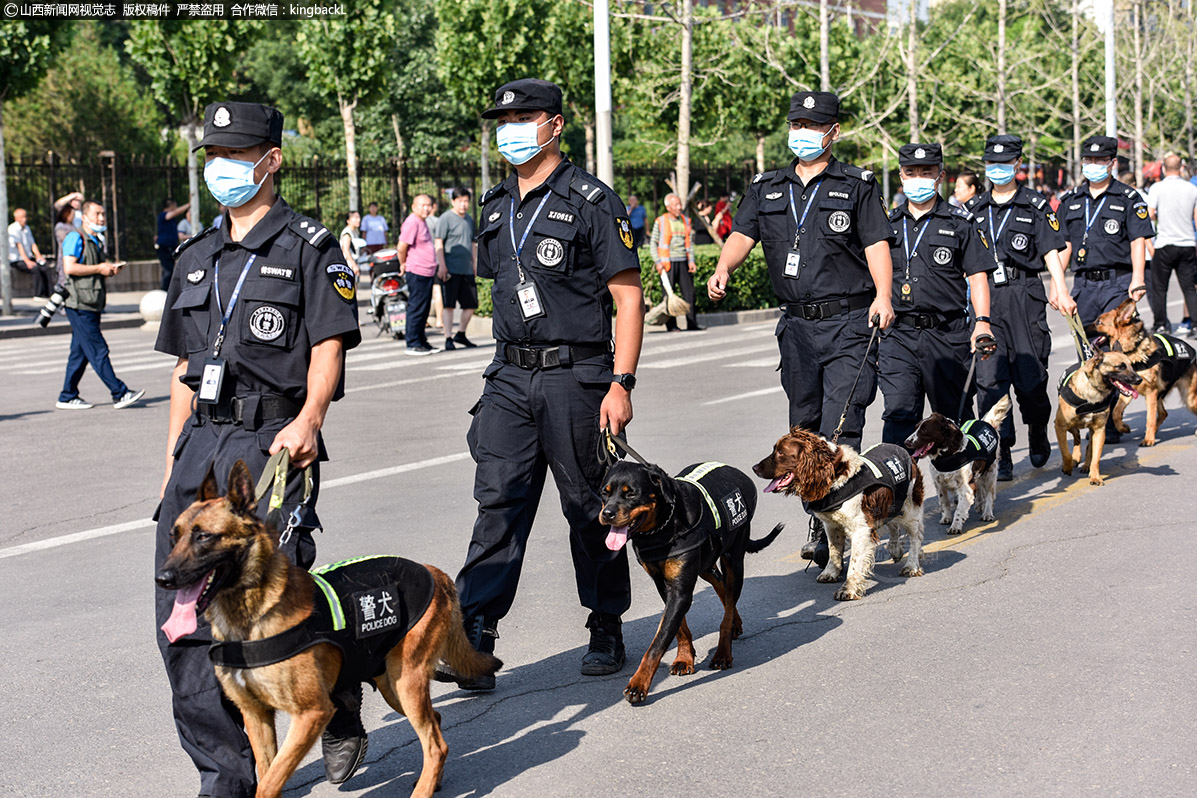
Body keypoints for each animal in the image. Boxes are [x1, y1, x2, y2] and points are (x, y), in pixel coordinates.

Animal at [154, 461, 500, 798]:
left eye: (204, 537)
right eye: (174, 535)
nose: (162, 578)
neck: (251, 616)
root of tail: (433, 572)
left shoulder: (312, 714)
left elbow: (269, 782)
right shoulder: (256, 716)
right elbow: (267, 772)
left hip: (406, 682)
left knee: (436, 744)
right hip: (393, 686)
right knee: (436, 725)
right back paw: (434, 780)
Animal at [598, 459, 785, 703]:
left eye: (631, 494)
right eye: (604, 492)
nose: (607, 513)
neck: (662, 528)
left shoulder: (681, 591)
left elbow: (657, 643)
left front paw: (638, 684)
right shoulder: (664, 584)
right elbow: (679, 628)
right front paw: (684, 658)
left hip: (734, 559)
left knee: (728, 601)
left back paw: (723, 651)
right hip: (706, 564)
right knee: (721, 586)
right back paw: (736, 623)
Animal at [1058, 351, 1139, 488]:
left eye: (1132, 365)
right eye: (1120, 367)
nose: (1139, 379)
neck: (1094, 390)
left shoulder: (1099, 430)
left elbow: (1096, 458)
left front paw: (1095, 477)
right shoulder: (1060, 426)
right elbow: (1065, 452)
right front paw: (1067, 467)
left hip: (1092, 431)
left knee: (1088, 446)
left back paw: (1086, 466)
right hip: (1070, 426)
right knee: (1077, 436)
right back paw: (1076, 458)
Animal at [1096, 299, 1197, 449]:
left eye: (1099, 322)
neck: (1133, 350)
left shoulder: (1151, 393)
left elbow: (1149, 418)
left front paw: (1148, 440)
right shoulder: (1128, 392)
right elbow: (1115, 413)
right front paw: (1123, 428)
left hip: (1188, 398)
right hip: (1161, 395)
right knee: (1163, 413)